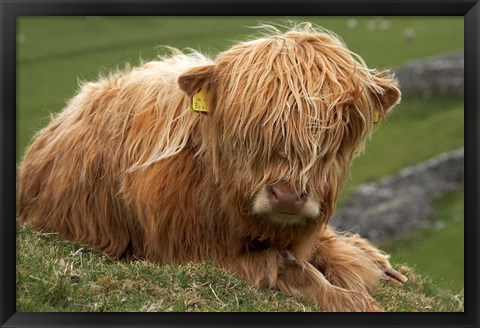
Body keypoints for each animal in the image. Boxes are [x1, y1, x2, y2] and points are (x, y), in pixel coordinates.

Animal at [17, 24, 404, 312]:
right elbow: (290, 267)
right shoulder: (192, 252)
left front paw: (363, 265)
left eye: (338, 127)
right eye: (247, 126)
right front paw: (354, 300)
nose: (286, 196)